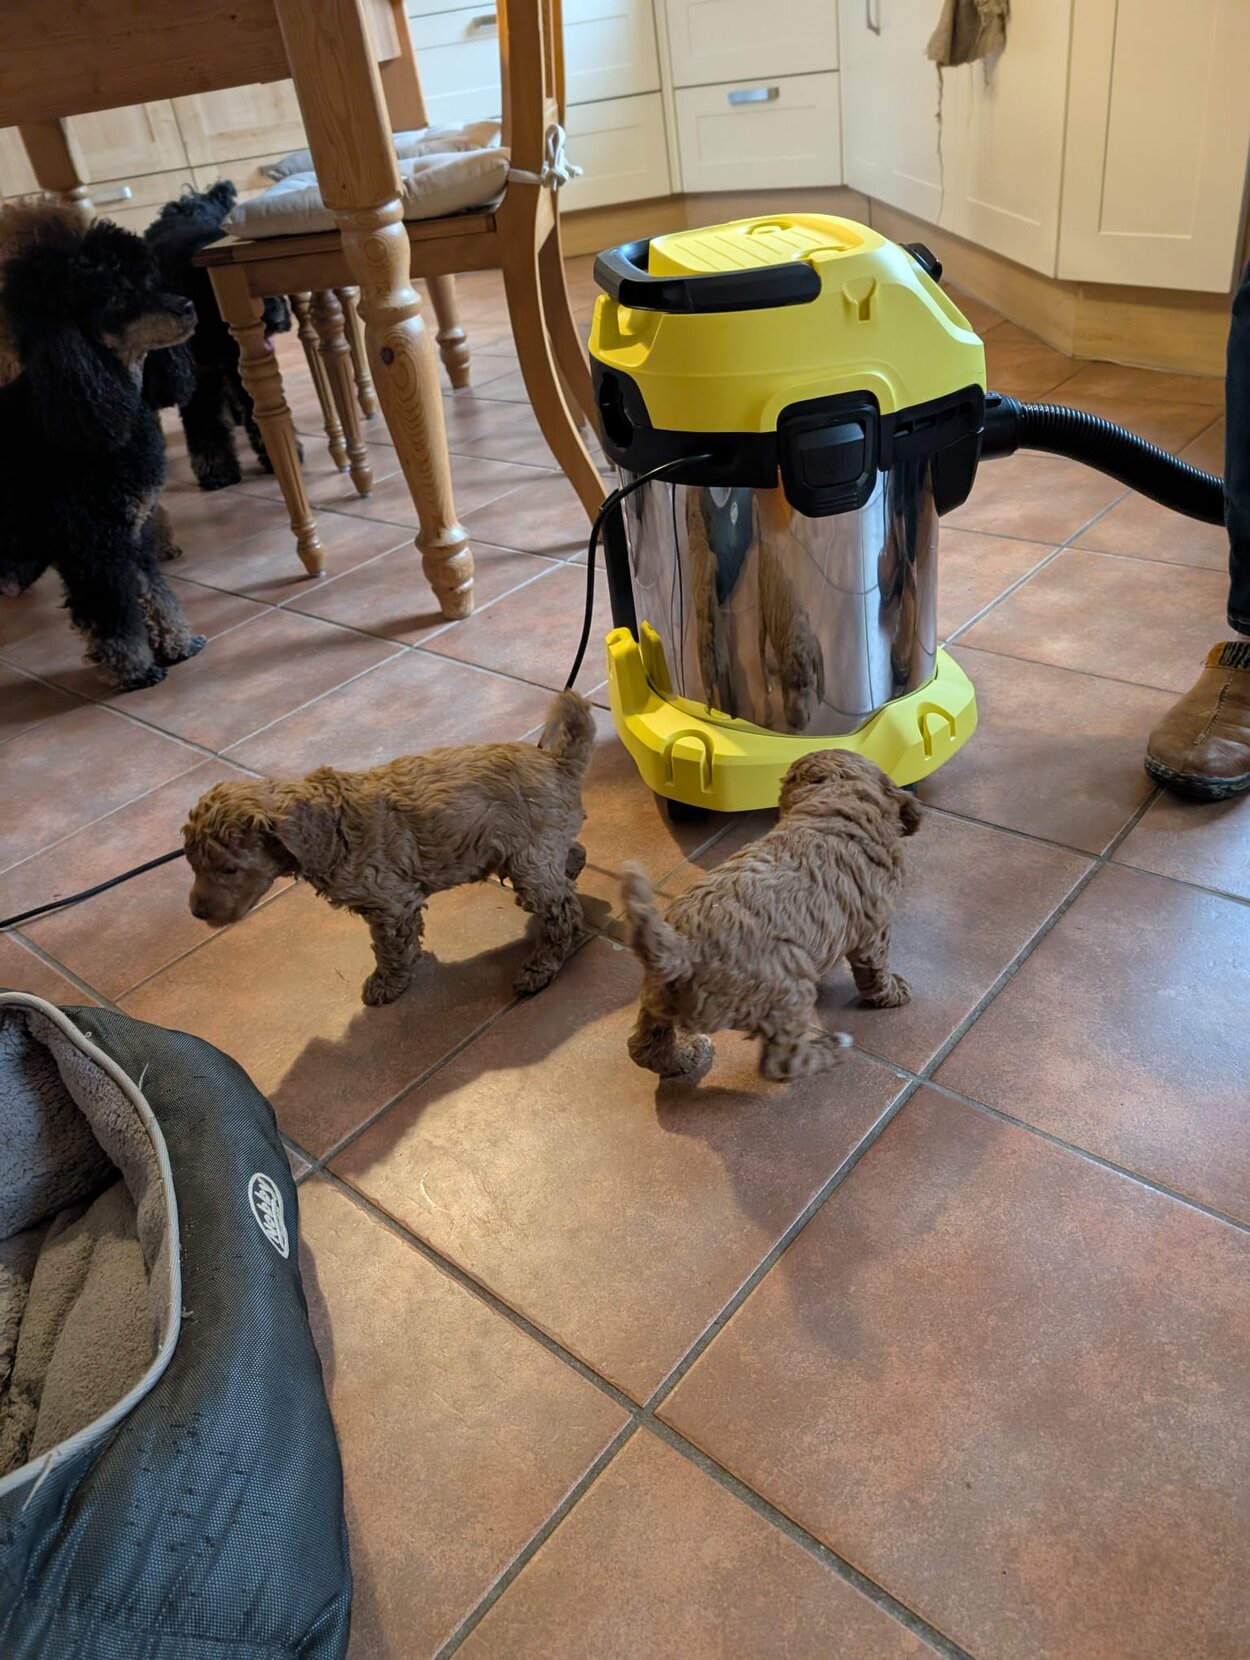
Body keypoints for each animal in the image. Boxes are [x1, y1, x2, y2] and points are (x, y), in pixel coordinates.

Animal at [0, 202, 205, 690]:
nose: (187, 307)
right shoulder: (94, 545)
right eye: (111, 299)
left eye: (145, 282)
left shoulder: (133, 535)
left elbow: (153, 592)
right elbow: (114, 616)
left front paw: (176, 644)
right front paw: (134, 671)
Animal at [145, 182, 294, 491]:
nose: (276, 320)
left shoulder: (238, 366)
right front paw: (216, 470)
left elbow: (255, 410)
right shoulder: (197, 377)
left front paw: (276, 455)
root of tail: (185, 204)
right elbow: (204, 425)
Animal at [182, 690, 596, 1006]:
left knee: (563, 912)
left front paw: (387, 983)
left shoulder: (390, 903)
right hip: (532, 849)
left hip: (528, 859)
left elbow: (389, 947)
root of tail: (557, 761)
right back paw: (571, 869)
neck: (331, 823)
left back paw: (539, 967)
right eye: (193, 867)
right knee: (571, 857)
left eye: (229, 869)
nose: (196, 912)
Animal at [621, 749, 920, 1083]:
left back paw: (686, 1055)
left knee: (644, 1045)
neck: (837, 802)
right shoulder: (874, 927)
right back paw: (832, 1049)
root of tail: (678, 950)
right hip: (788, 990)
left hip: (655, 994)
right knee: (781, 1063)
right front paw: (895, 992)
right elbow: (876, 968)